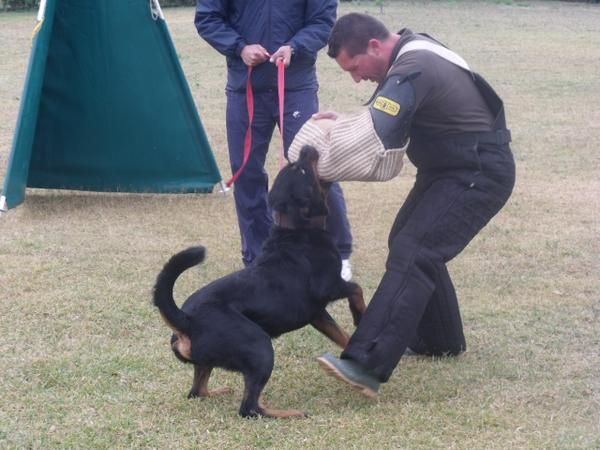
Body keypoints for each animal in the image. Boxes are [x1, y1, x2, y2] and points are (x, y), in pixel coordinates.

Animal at [152, 145, 364, 418]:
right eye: (302, 169)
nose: (307, 148)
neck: (296, 230)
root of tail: (186, 320)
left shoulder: (317, 314)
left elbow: (341, 335)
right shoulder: (329, 287)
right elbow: (356, 289)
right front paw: (360, 315)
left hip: (210, 361)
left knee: (198, 391)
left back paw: (218, 392)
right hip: (260, 348)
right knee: (249, 408)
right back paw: (290, 413)